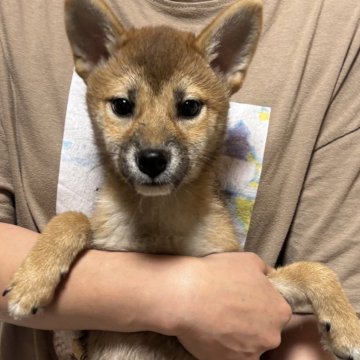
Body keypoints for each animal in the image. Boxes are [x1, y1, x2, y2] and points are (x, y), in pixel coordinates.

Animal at [4, 0, 360, 358]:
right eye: (122, 105)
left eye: (189, 107)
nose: (152, 160)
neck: (161, 221)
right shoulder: (78, 333)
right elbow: (73, 218)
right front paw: (33, 278)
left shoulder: (258, 277)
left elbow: (315, 269)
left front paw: (348, 326)